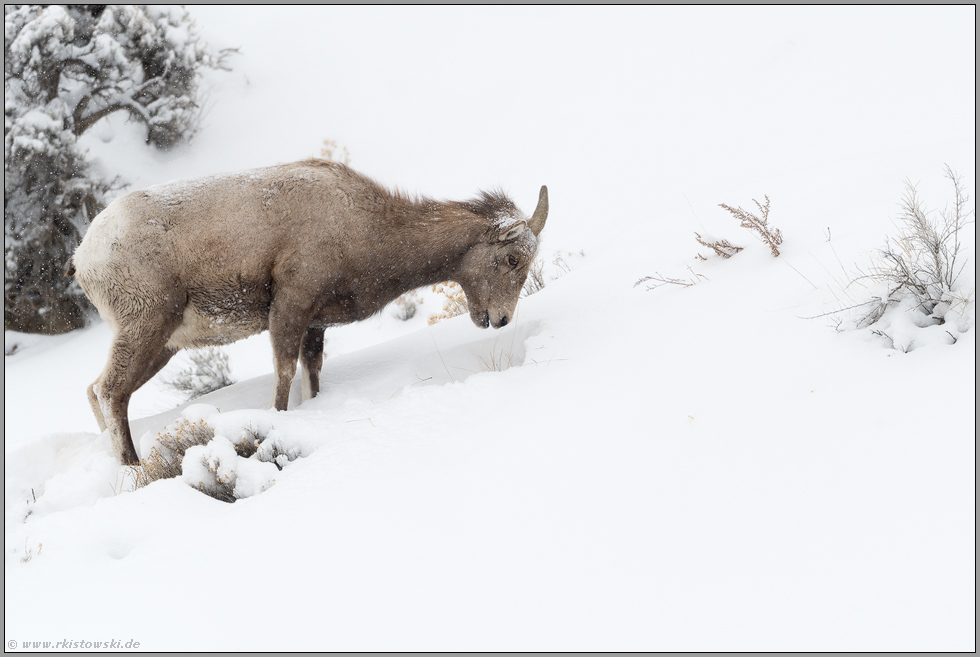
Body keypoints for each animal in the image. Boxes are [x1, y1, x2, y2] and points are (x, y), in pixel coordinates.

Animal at [72, 158, 548, 466]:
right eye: (511, 260)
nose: (500, 319)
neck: (365, 229)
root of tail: (84, 257)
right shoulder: (291, 305)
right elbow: (284, 376)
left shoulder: (315, 323)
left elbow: (312, 375)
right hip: (146, 327)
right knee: (111, 392)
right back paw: (134, 469)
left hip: (161, 346)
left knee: (96, 390)